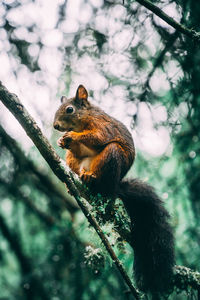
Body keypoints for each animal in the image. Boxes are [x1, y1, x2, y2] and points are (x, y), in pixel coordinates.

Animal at [53, 84, 175, 296]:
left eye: (69, 109)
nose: (55, 126)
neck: (84, 120)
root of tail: (116, 185)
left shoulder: (103, 126)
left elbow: (97, 137)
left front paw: (72, 137)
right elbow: (77, 148)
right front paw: (62, 141)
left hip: (112, 155)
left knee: (104, 177)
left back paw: (91, 178)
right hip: (73, 161)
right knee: (74, 161)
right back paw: (75, 180)